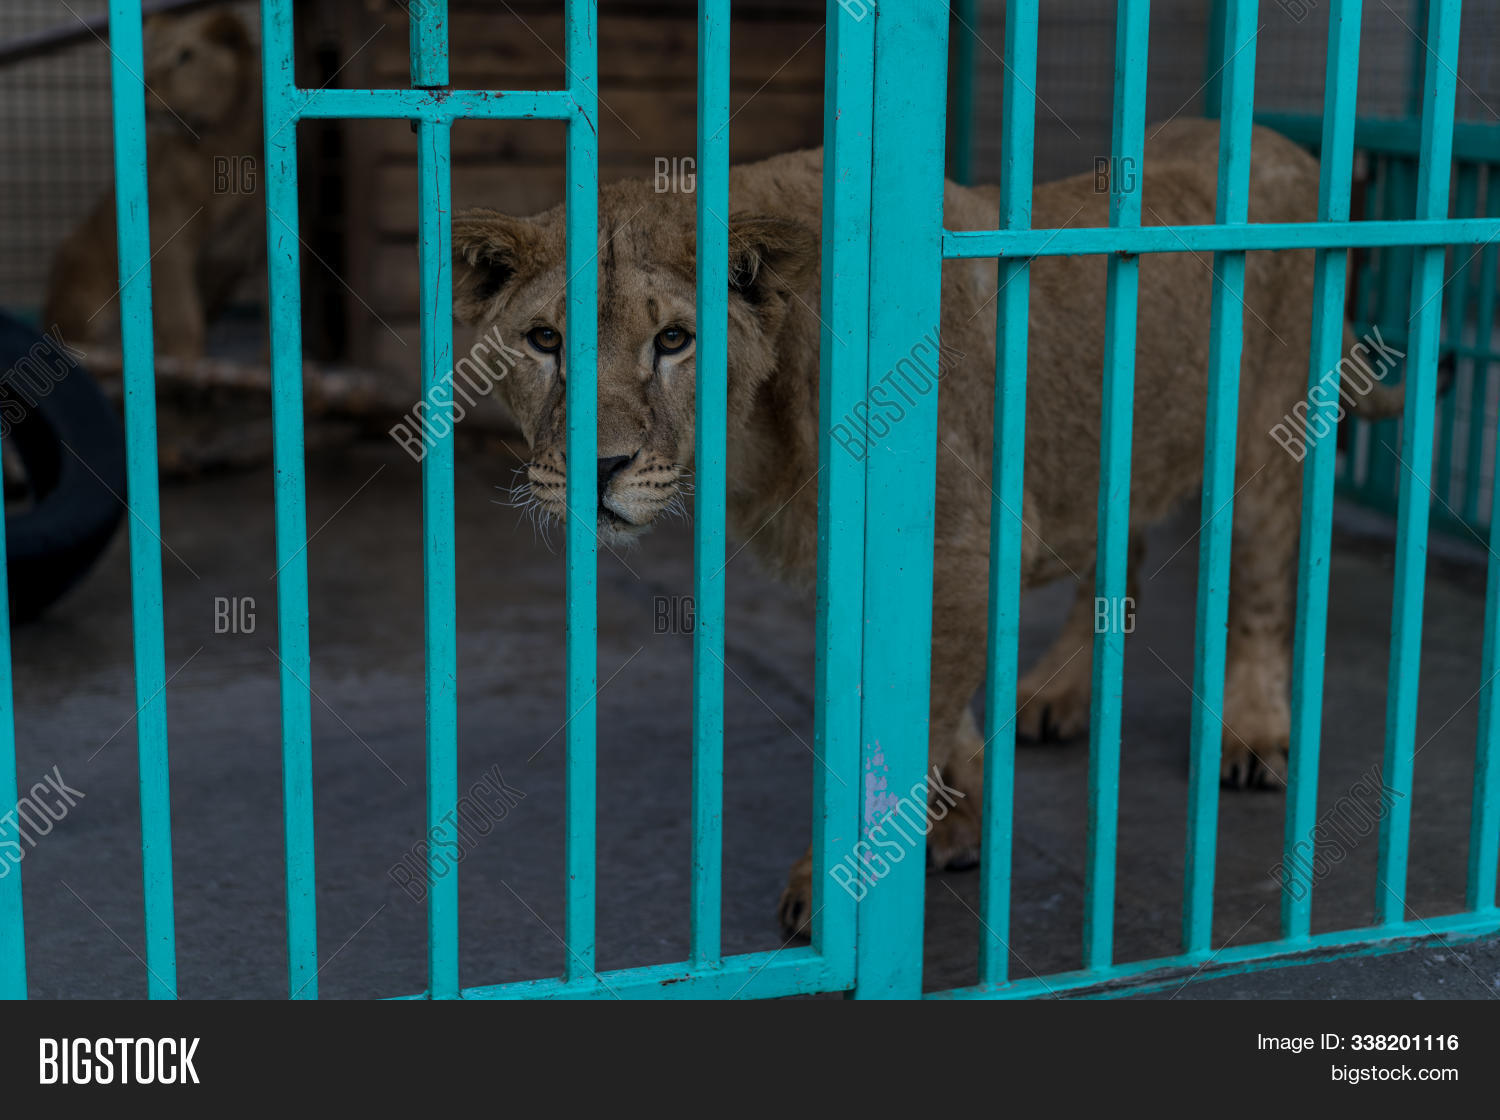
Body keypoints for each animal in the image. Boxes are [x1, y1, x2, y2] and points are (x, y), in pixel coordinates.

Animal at [43, 6, 263, 361]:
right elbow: (182, 314)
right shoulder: (166, 233)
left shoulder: (252, 240)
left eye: (185, 56)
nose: (143, 87)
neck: (223, 143)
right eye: (150, 54)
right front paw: (186, 359)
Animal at [451, 119, 1411, 939]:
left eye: (676, 340)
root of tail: (1287, 142)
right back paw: (1056, 694)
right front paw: (954, 825)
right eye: (544, 341)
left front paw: (842, 891)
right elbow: (939, 712)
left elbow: (916, 723)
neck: (760, 433)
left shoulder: (954, 546)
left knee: (1259, 583)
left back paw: (1251, 735)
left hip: (1271, 438)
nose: (597, 468)